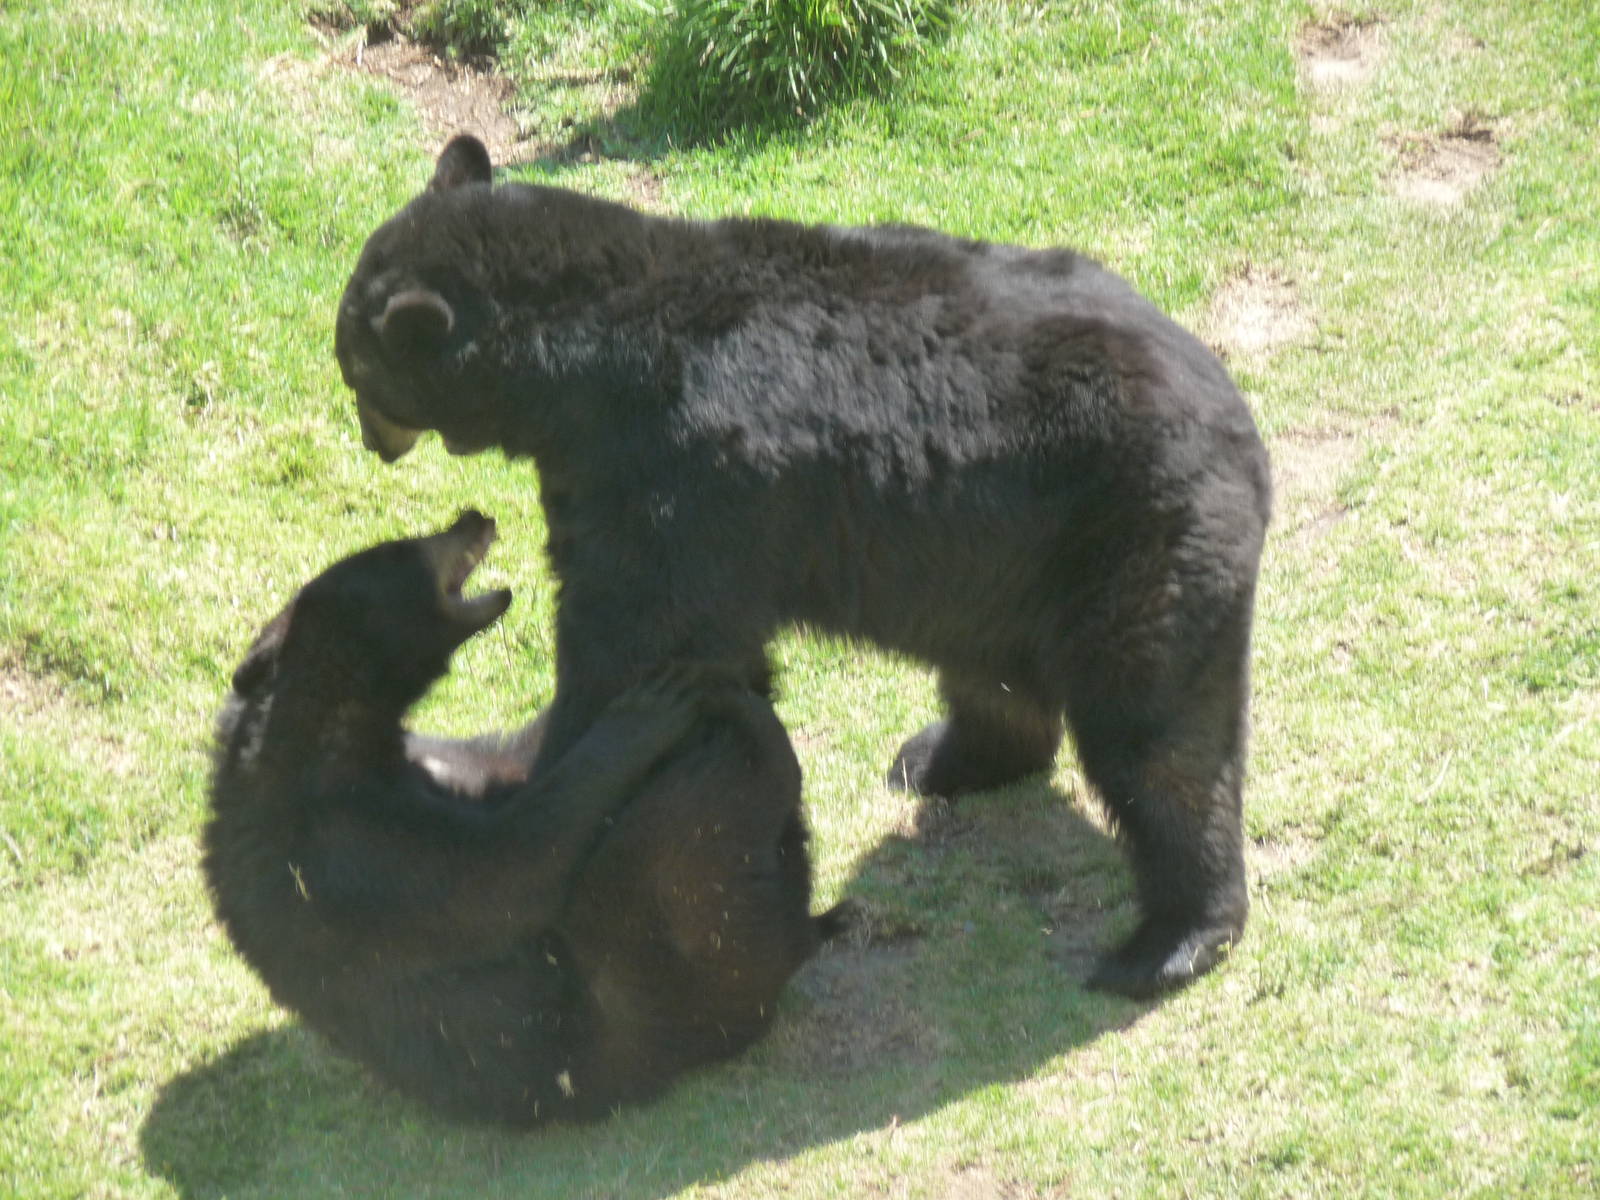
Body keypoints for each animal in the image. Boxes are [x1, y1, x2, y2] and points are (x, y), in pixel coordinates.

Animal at [203, 510, 845, 1126]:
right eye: (402, 547)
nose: (473, 515)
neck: (320, 740)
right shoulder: (348, 853)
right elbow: (508, 869)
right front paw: (645, 712)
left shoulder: (426, 769)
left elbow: (508, 773)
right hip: (647, 976)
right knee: (675, 852)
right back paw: (754, 738)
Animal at [334, 135, 1272, 998]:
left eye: (354, 370)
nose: (371, 443)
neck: (581, 362)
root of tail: (1235, 414)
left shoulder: (677, 472)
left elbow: (633, 641)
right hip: (997, 553)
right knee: (992, 672)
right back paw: (942, 759)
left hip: (1130, 531)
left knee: (1157, 733)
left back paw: (1172, 936)